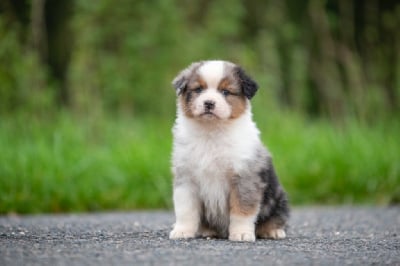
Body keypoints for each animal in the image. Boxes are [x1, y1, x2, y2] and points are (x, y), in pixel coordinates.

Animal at [170, 60, 290, 241]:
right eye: (198, 89)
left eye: (225, 92)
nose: (209, 103)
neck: (212, 132)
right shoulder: (186, 177)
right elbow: (185, 209)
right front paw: (182, 231)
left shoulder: (244, 176)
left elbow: (242, 209)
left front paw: (241, 233)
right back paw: (207, 230)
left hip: (278, 198)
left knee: (277, 217)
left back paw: (273, 231)